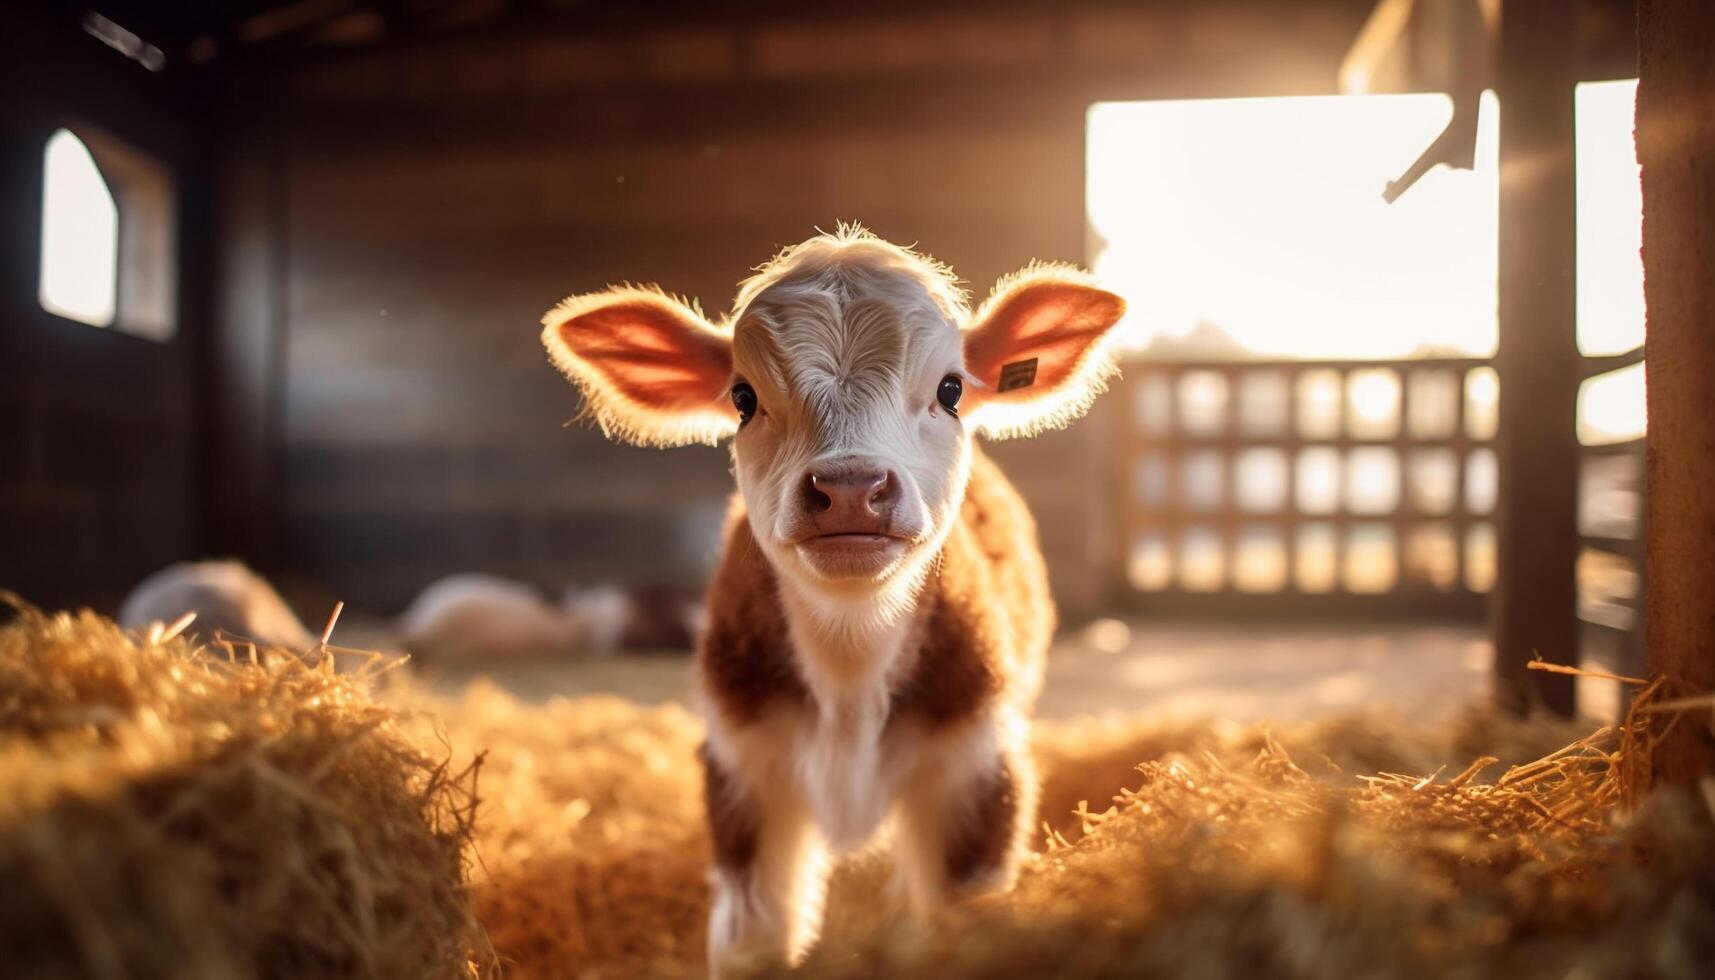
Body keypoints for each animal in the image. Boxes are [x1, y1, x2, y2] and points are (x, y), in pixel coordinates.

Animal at [538, 229, 1125, 974]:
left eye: (951, 388)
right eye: (742, 397)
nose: (850, 488)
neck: (850, 663)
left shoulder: (975, 771)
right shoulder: (743, 771)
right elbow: (752, 941)